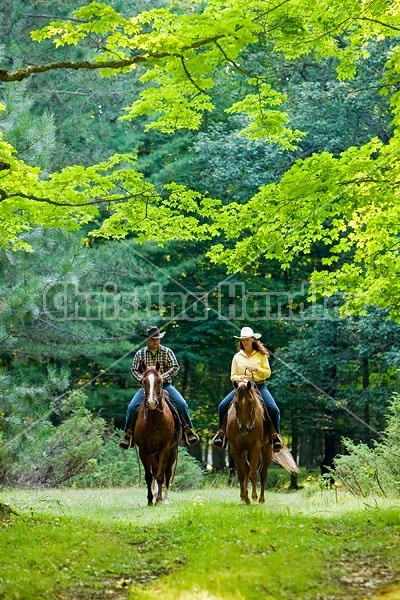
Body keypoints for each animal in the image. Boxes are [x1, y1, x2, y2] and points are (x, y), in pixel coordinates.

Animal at [134, 364, 178, 504]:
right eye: (144, 381)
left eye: (160, 381)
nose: (152, 403)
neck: (154, 420)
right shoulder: (144, 450)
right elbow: (149, 475)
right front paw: (149, 500)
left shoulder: (165, 448)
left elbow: (160, 476)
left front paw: (158, 500)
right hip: (153, 453)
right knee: (154, 471)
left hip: (172, 451)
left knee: (167, 473)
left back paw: (166, 499)